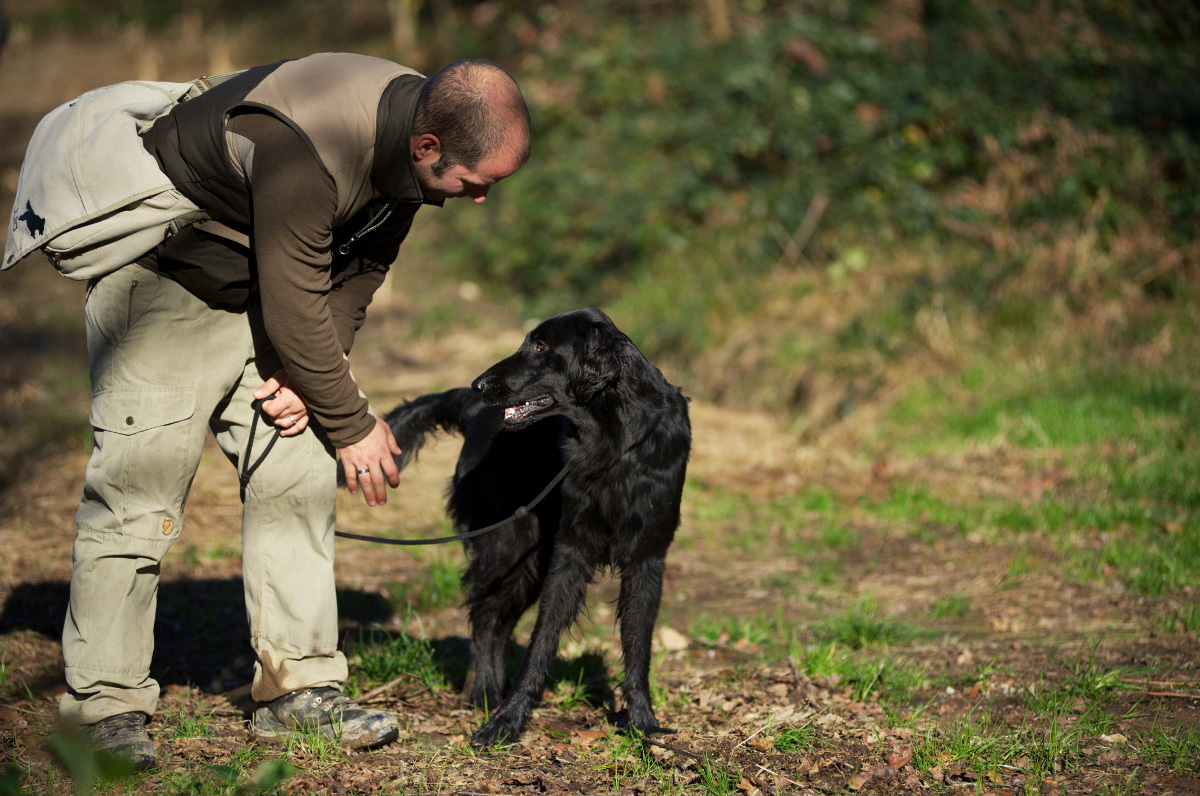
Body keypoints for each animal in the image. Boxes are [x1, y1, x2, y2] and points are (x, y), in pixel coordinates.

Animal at [384, 309, 686, 749]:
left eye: (542, 346)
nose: (478, 384)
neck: (614, 440)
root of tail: (474, 409)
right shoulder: (570, 551)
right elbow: (540, 640)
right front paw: (507, 721)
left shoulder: (648, 556)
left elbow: (638, 643)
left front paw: (643, 723)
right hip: (510, 547)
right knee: (485, 616)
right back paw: (484, 692)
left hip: (527, 561)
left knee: (498, 619)